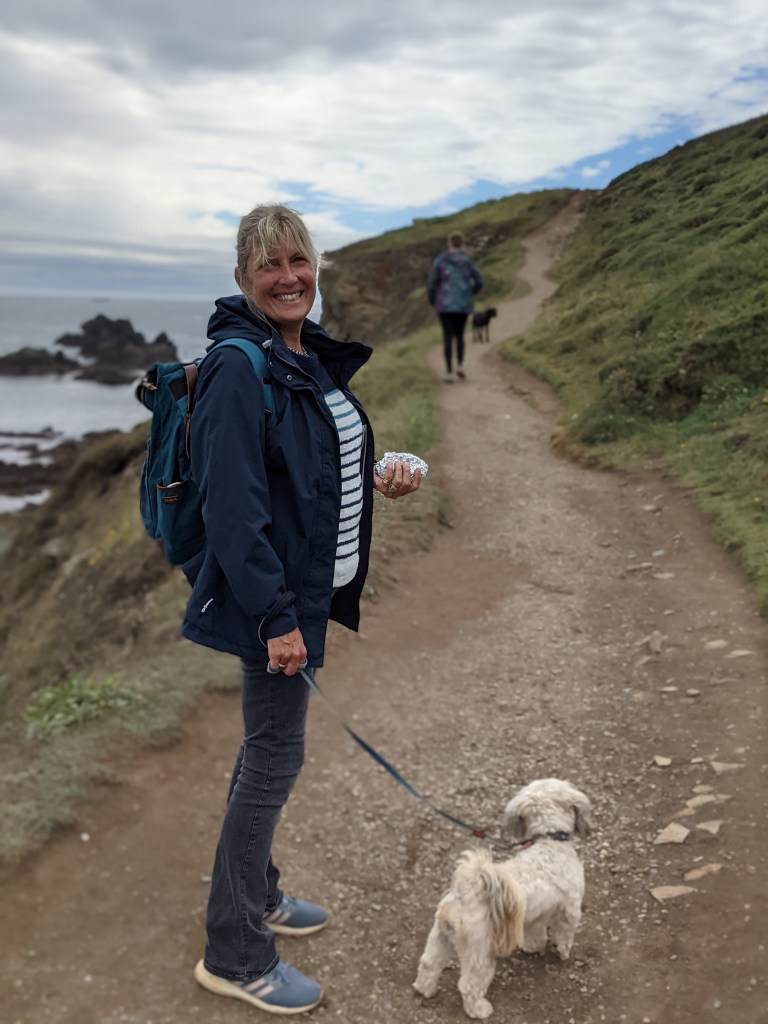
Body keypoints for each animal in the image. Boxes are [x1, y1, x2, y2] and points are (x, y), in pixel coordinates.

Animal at [413, 778, 592, 1019]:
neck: (549, 842)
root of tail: (466, 890)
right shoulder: (570, 908)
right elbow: (564, 933)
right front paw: (563, 953)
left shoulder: (533, 915)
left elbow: (535, 933)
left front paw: (532, 947)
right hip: (480, 952)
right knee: (469, 985)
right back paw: (480, 1010)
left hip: (440, 938)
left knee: (429, 964)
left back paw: (425, 990)